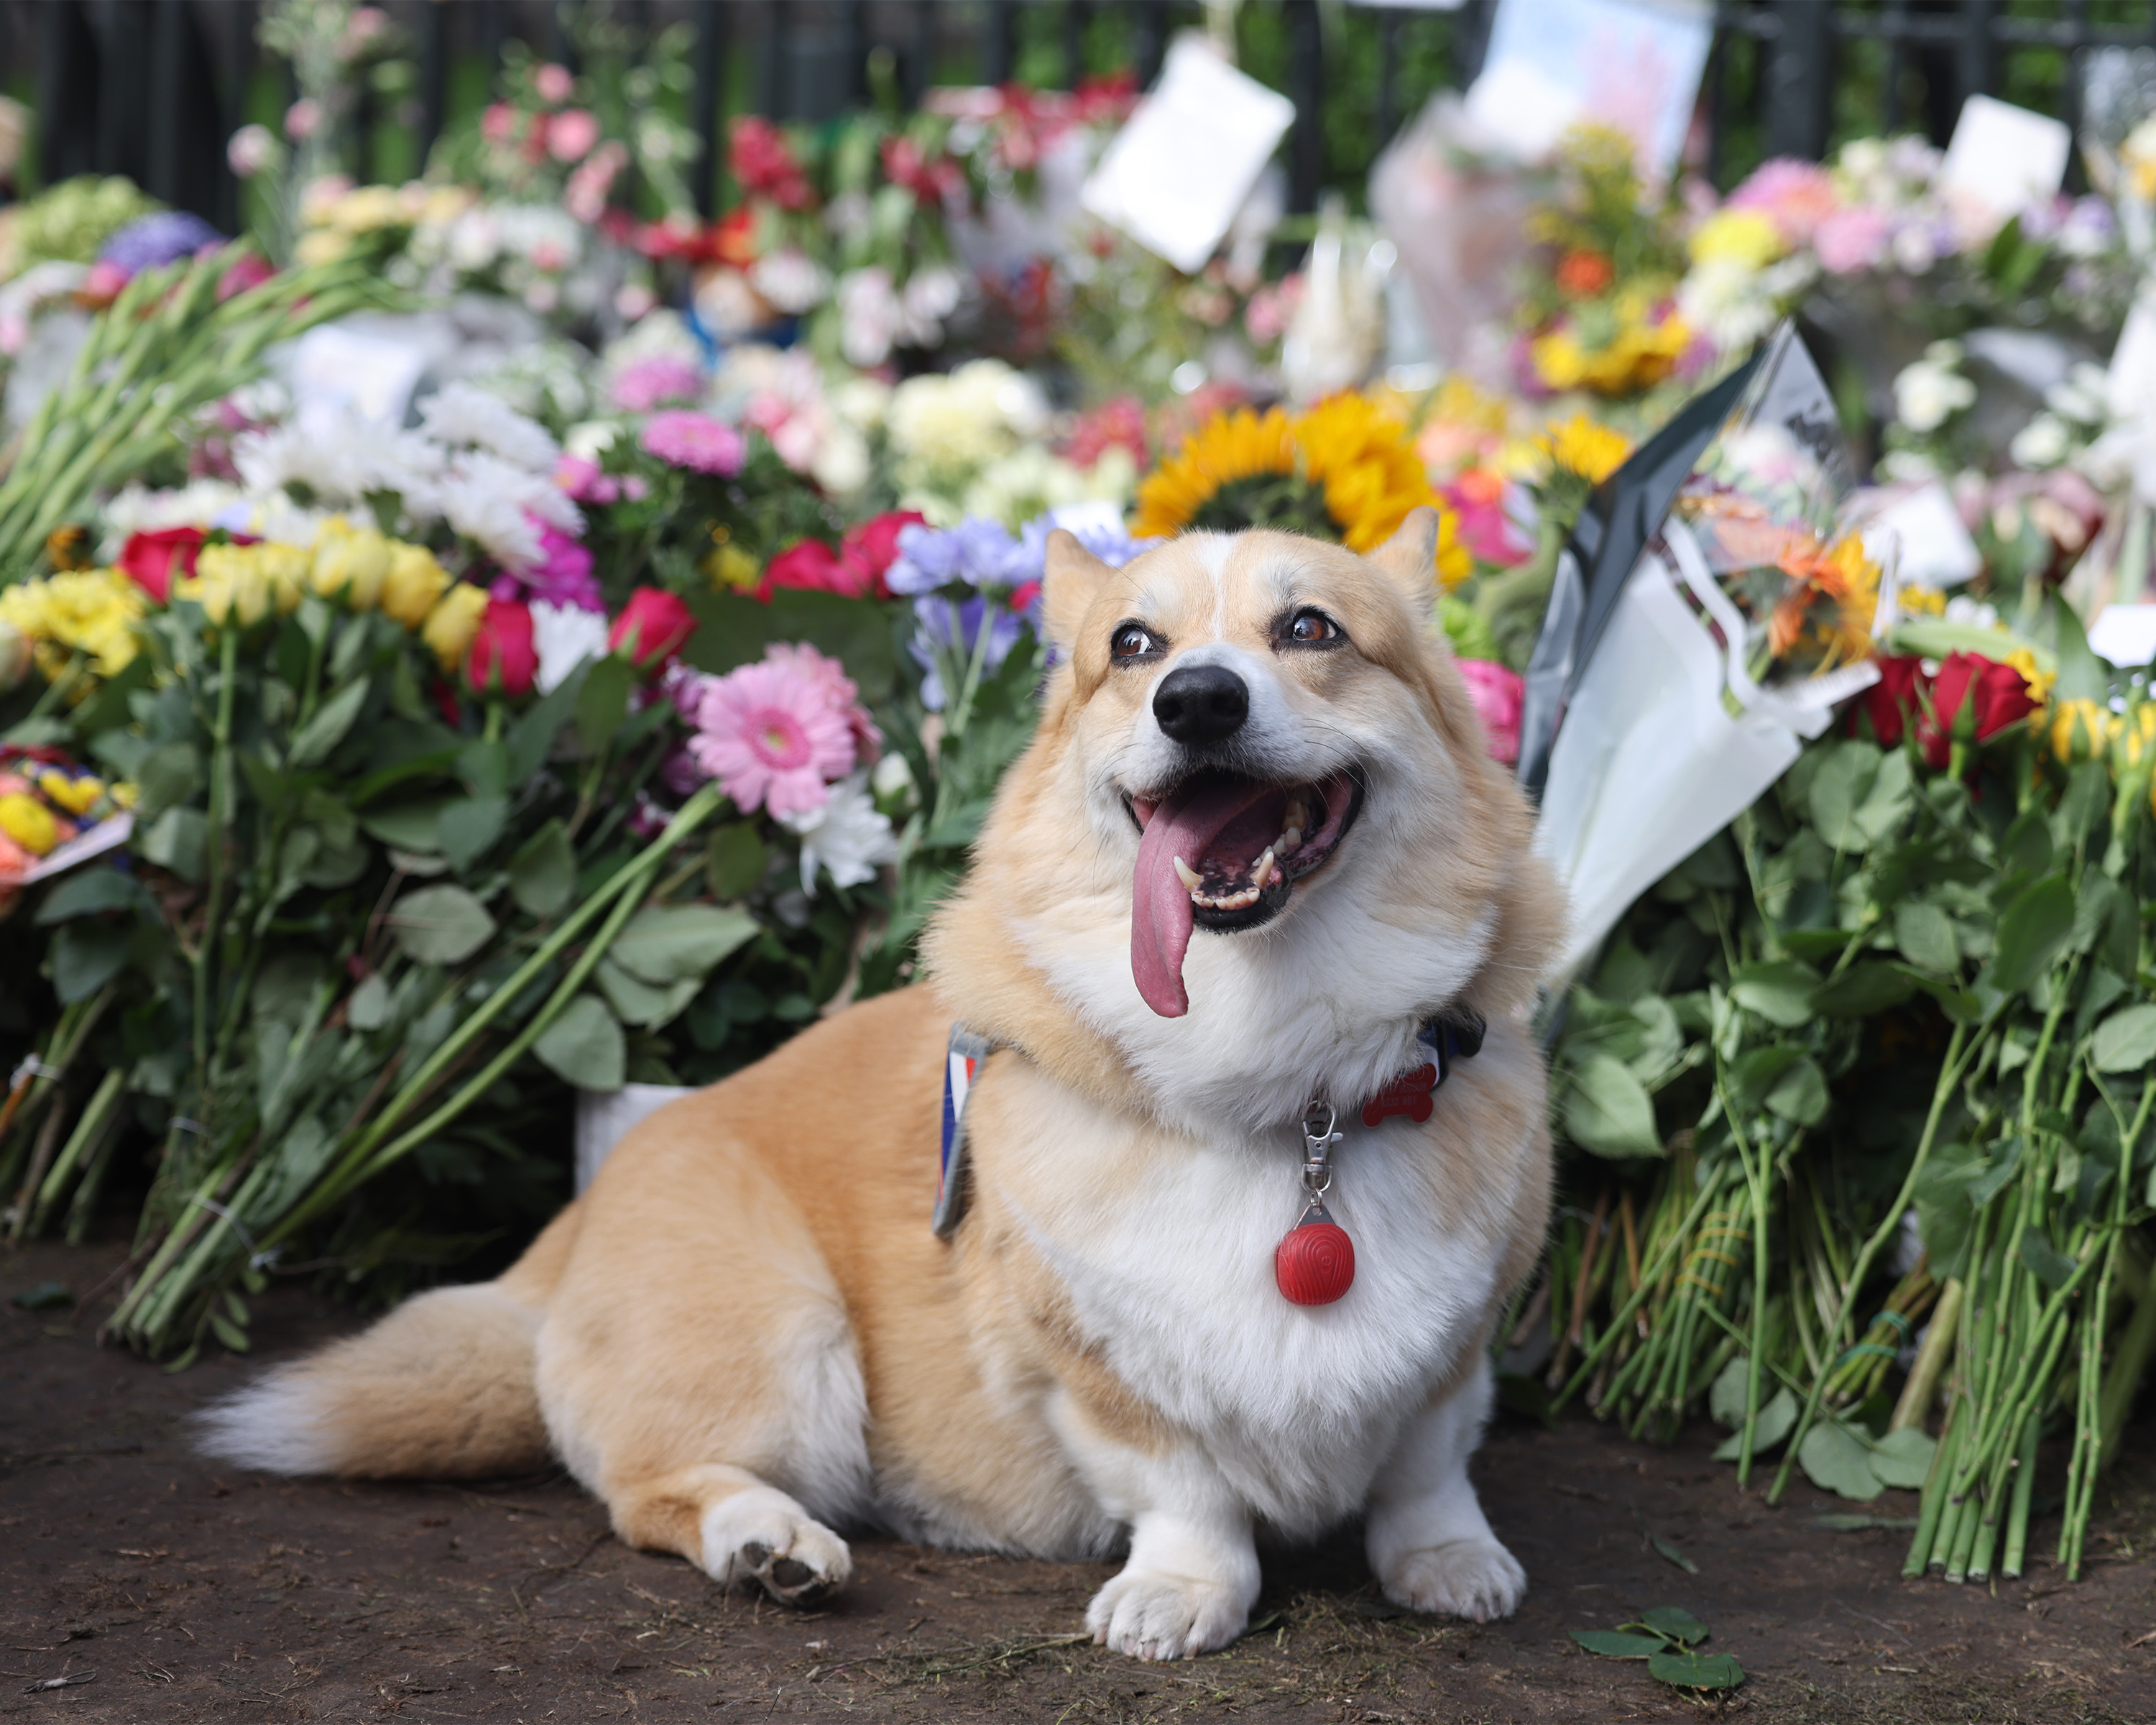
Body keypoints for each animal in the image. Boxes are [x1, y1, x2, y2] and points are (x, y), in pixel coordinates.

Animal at [203, 513, 1561, 1656]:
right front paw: (1180, 1594)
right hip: (787, 1334)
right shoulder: (1092, 1365)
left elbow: (1426, 1467)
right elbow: (1184, 1487)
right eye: (1132, 648)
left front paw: (1450, 1562)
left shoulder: (1454, 1349)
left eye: (1312, 629)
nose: (1196, 700)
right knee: (650, 1492)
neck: (1285, 1087)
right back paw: (769, 1543)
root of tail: (570, 1229)